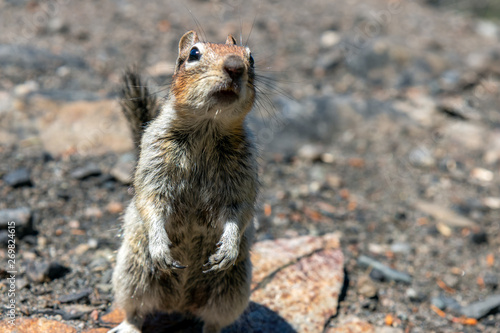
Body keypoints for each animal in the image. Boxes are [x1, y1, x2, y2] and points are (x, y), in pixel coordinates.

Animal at [109, 29, 258, 332]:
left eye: (251, 58)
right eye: (194, 54)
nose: (235, 67)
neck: (207, 128)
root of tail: (179, 305)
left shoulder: (244, 174)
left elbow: (240, 212)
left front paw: (228, 247)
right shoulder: (154, 162)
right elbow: (151, 203)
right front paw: (160, 247)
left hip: (231, 289)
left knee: (214, 320)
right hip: (133, 274)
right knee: (135, 310)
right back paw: (129, 325)